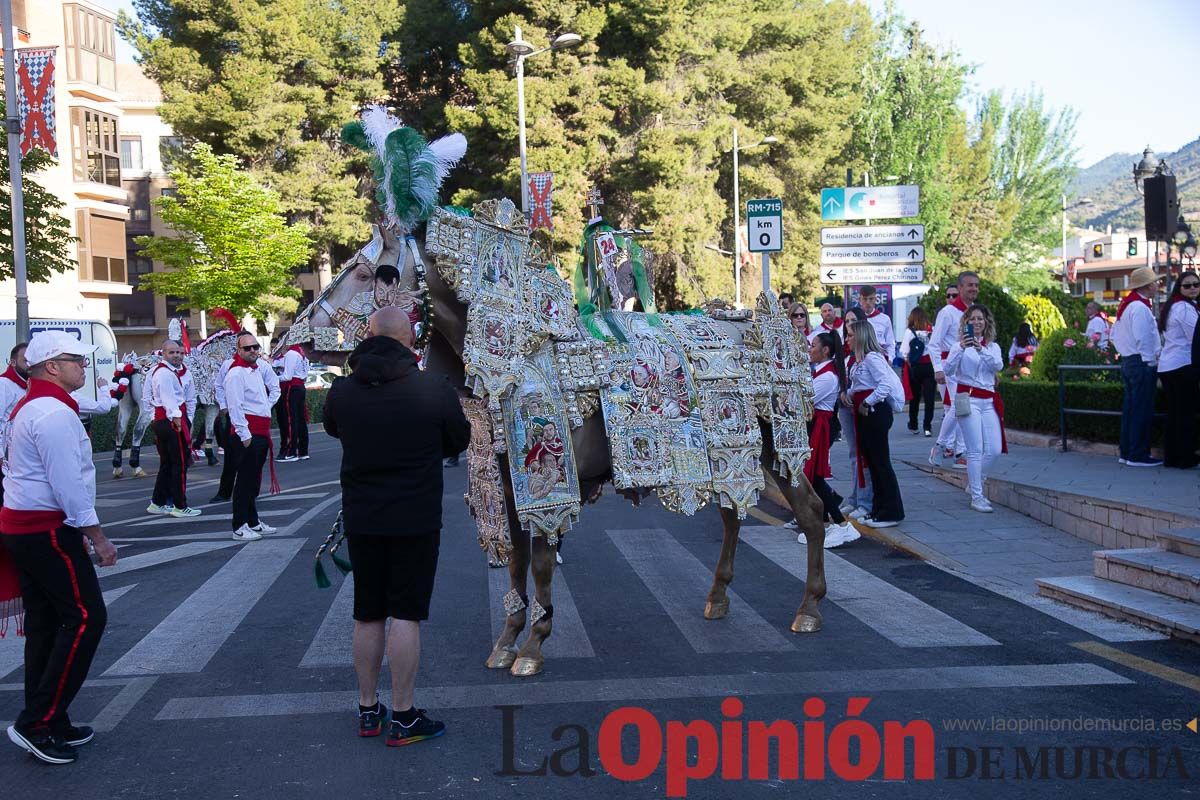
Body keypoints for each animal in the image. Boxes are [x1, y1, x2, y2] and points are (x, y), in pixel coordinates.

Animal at [295, 109, 830, 681]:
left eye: (369, 271)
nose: (302, 336)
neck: (518, 354)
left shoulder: (550, 482)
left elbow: (542, 562)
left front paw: (533, 644)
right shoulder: (507, 485)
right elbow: (514, 563)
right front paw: (508, 639)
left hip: (777, 445)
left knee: (811, 510)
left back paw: (809, 608)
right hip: (738, 454)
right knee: (734, 512)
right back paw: (719, 596)